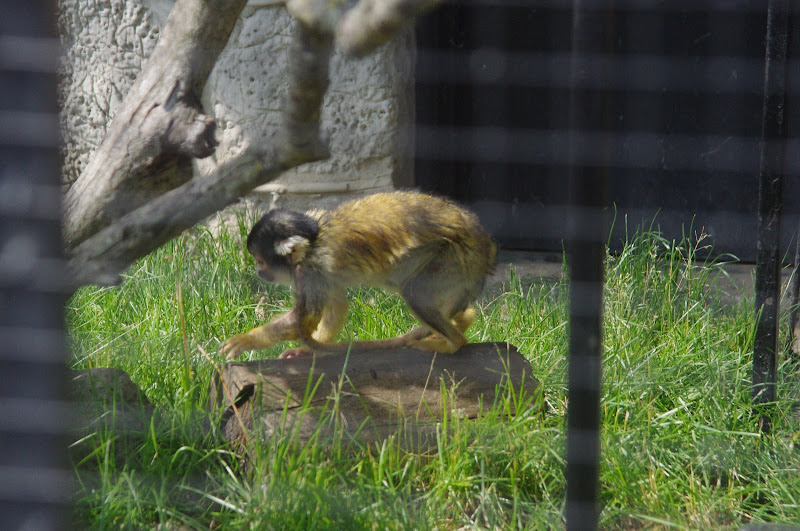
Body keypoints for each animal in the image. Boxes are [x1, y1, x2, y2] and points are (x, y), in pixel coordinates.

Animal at [218, 190, 496, 360]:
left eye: (261, 261)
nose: (258, 271)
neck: (313, 241)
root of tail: (486, 251)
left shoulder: (310, 271)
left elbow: (306, 319)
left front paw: (246, 339)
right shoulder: (321, 273)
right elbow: (337, 306)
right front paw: (310, 350)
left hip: (457, 259)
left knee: (415, 293)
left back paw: (453, 342)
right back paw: (463, 320)